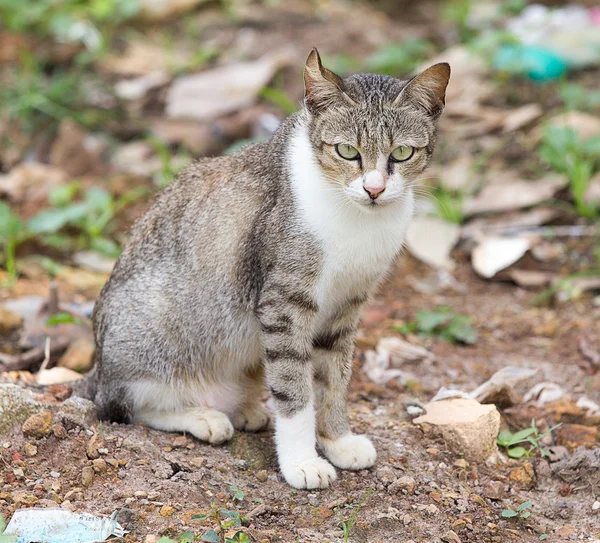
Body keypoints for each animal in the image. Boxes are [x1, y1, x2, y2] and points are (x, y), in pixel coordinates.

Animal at [77, 49, 448, 490]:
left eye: (403, 154)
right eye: (346, 151)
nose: (374, 189)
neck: (357, 220)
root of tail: (98, 368)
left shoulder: (346, 306)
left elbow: (334, 381)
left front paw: (336, 440)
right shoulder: (283, 303)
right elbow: (294, 388)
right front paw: (301, 460)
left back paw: (243, 410)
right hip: (148, 333)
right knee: (122, 406)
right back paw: (202, 416)